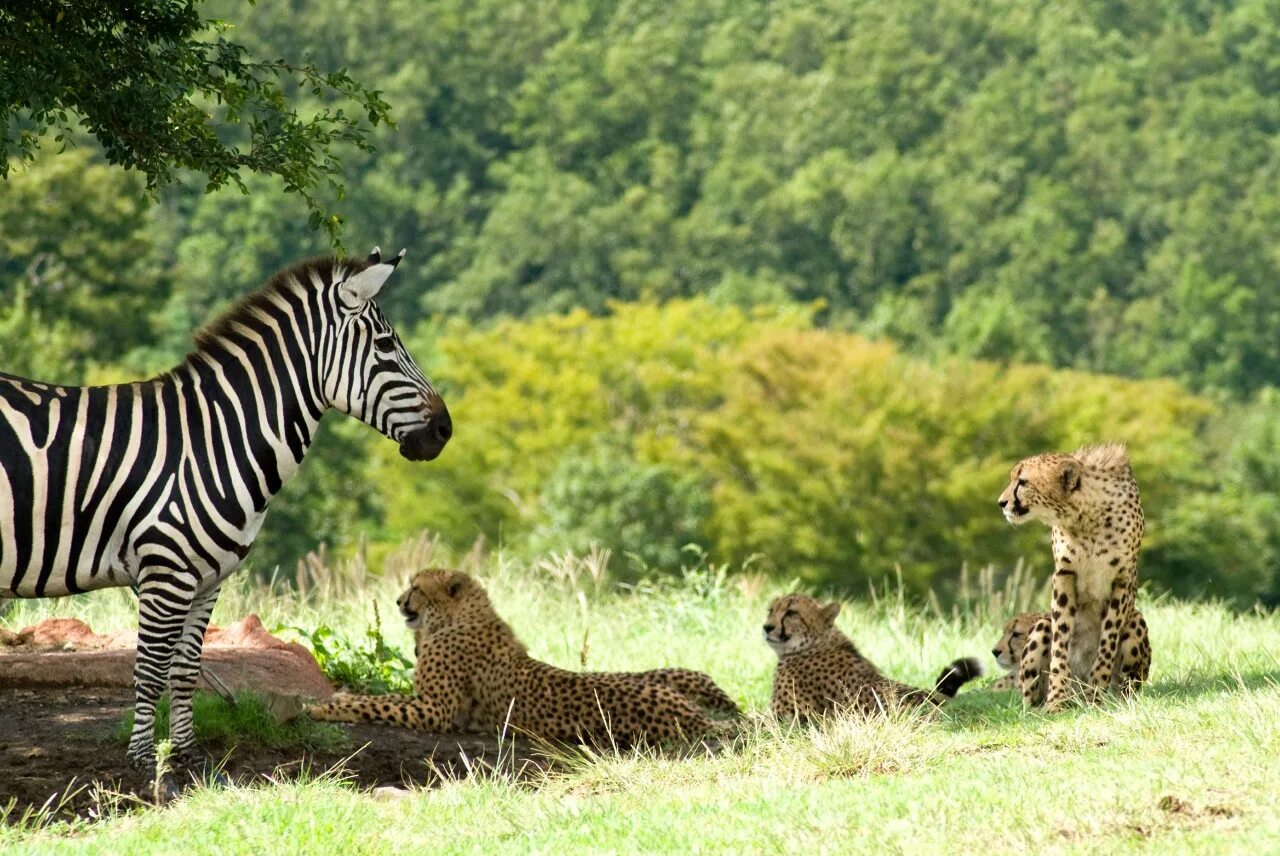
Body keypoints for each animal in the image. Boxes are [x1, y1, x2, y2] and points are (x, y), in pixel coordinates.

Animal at [0, 246, 450, 772]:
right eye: (385, 345)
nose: (445, 430)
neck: (215, 439)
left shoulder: (205, 579)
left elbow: (185, 669)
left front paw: (189, 757)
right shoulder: (166, 571)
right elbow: (150, 669)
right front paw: (147, 765)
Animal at [304, 570, 742, 742]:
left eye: (416, 588)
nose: (398, 601)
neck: (455, 618)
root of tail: (695, 716)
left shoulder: (436, 710)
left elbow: (376, 704)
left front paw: (325, 708)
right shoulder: (426, 700)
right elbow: (383, 697)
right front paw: (338, 696)